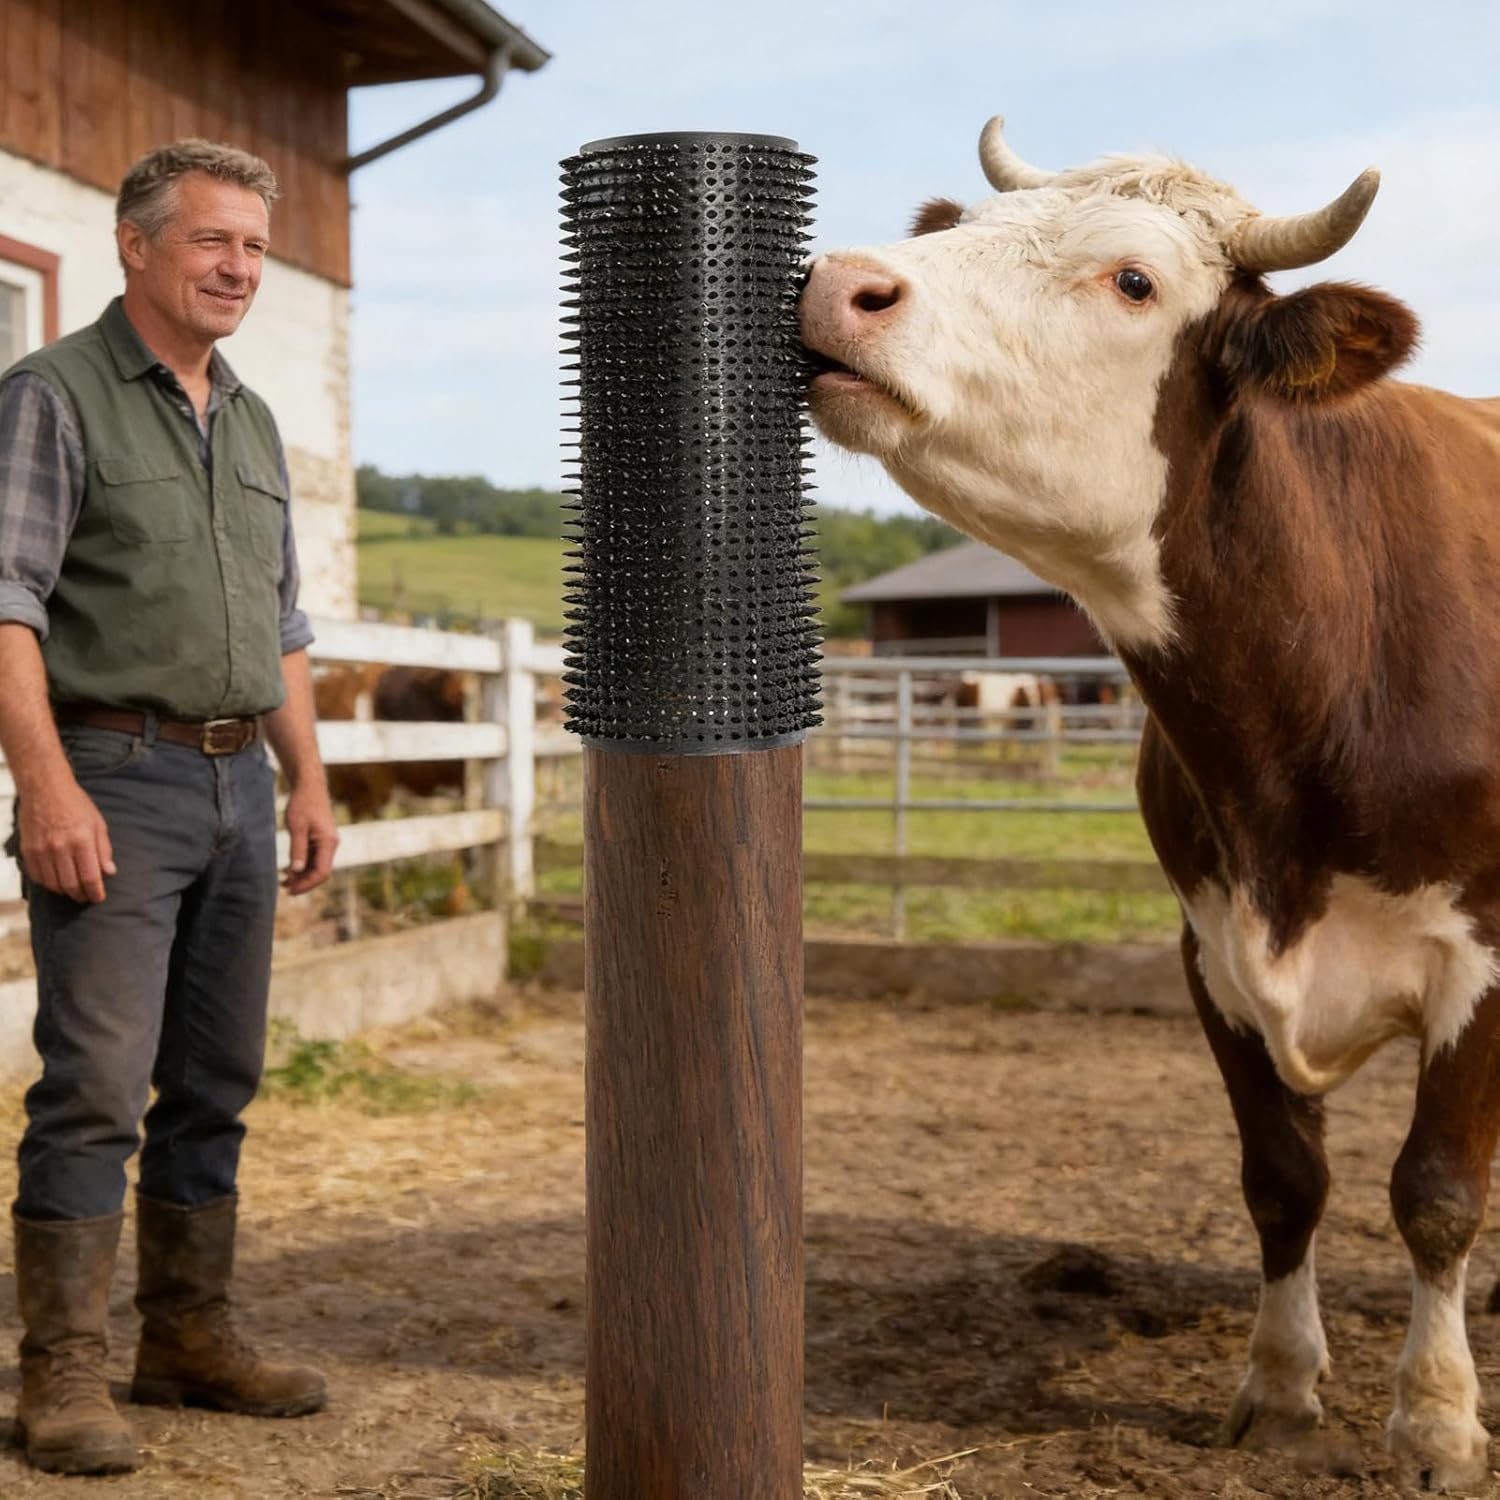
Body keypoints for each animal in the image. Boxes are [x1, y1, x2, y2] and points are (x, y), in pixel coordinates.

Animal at [800, 115, 1500, 1492]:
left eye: (1134, 280)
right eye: (962, 227)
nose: (838, 285)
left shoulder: (1485, 953)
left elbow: (1438, 1190)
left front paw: (1439, 1420)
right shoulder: (1210, 947)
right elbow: (1282, 1177)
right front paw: (1278, 1389)